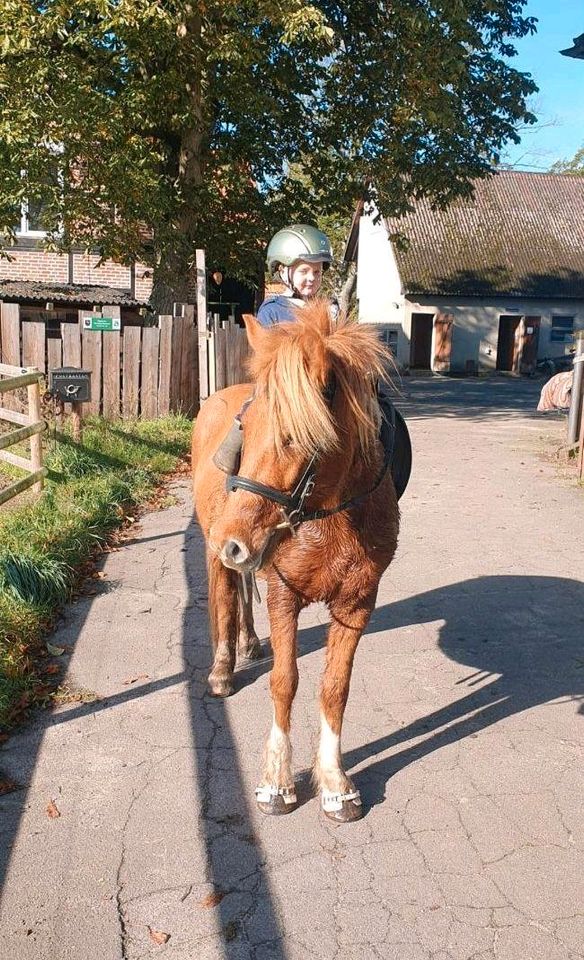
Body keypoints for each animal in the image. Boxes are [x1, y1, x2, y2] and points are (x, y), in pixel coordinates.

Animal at [194, 302, 400, 824]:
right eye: (245, 430)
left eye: (294, 437)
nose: (231, 540)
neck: (331, 517)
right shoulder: (284, 596)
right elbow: (284, 682)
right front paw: (277, 782)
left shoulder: (357, 603)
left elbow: (335, 688)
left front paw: (335, 783)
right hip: (217, 552)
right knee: (224, 594)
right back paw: (223, 667)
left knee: (242, 588)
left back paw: (248, 642)